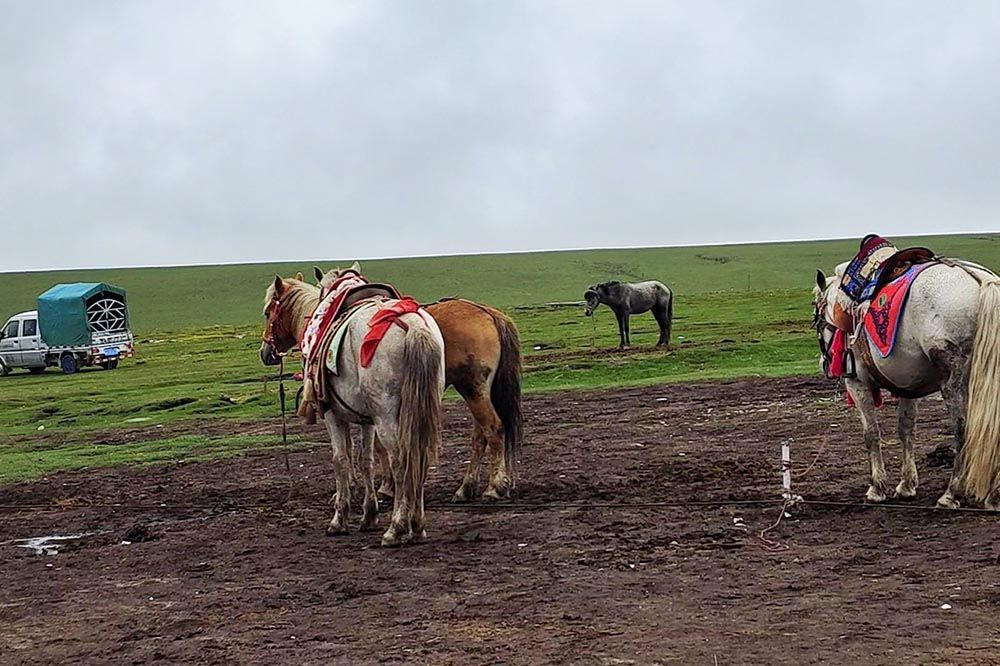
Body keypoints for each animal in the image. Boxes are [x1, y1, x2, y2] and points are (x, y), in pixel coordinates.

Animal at [258, 272, 446, 544]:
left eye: (267, 312)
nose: (265, 353)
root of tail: (412, 325)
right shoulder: (367, 420)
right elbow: (365, 460)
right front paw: (369, 514)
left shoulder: (332, 414)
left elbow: (341, 459)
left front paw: (339, 519)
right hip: (418, 410)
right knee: (418, 457)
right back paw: (417, 526)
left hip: (387, 415)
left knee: (401, 461)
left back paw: (396, 527)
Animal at [316, 262, 524, 500]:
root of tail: (488, 312)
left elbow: (378, 447)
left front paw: (385, 487)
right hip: (478, 391)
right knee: (481, 434)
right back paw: (467, 487)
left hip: (473, 389)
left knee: (493, 428)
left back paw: (493, 487)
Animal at [812, 250, 1000, 508]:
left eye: (816, 316)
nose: (824, 363)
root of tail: (982, 281)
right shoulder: (909, 387)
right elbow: (906, 430)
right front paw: (906, 485)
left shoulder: (858, 384)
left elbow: (871, 434)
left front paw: (877, 488)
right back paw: (992, 496)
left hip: (953, 381)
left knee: (962, 428)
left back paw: (951, 493)